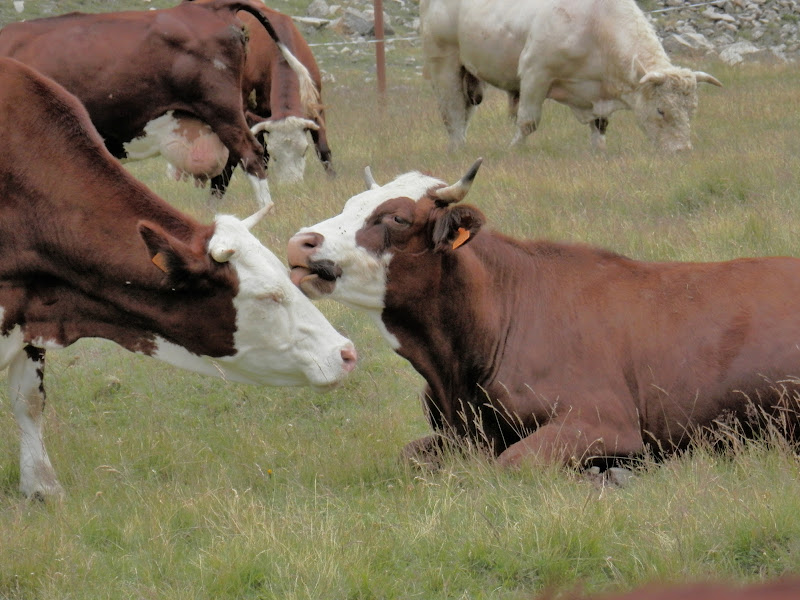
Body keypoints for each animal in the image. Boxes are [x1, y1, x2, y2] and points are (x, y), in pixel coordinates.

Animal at [290, 162, 800, 472]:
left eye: (395, 218)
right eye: (349, 205)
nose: (300, 242)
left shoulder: (603, 422)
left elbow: (512, 463)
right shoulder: (459, 432)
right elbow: (410, 456)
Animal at [422, 0, 720, 152]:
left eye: (692, 110)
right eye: (661, 110)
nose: (682, 150)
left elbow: (600, 126)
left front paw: (599, 153)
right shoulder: (535, 72)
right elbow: (528, 122)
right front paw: (514, 149)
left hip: (470, 77)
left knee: (464, 111)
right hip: (444, 61)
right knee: (452, 112)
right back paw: (458, 148)